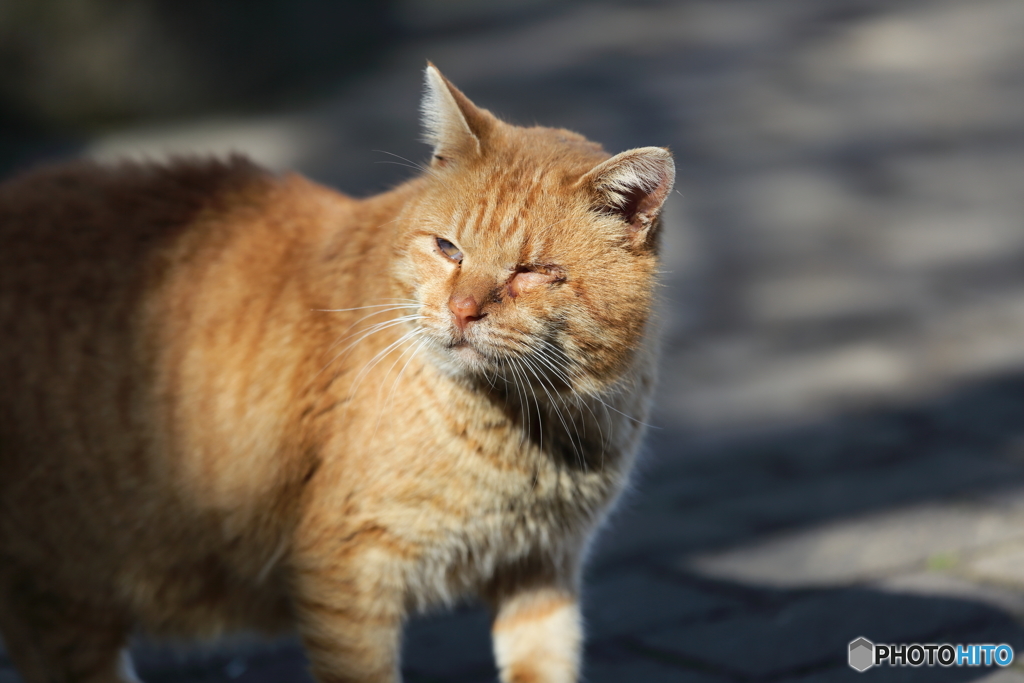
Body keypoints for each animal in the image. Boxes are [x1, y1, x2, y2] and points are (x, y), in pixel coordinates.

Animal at [0, 65, 671, 683]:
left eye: (531, 272)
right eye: (448, 249)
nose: (462, 309)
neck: (537, 430)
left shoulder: (542, 574)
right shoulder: (347, 573)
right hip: (64, 598)